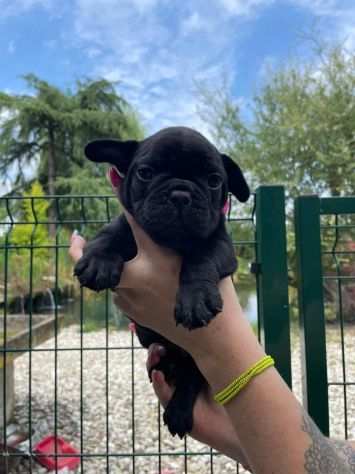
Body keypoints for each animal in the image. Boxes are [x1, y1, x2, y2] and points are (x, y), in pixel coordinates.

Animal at [74, 126, 250, 436]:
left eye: (214, 180)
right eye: (145, 172)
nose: (180, 194)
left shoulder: (221, 245)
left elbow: (202, 256)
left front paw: (196, 300)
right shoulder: (126, 223)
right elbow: (110, 233)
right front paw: (98, 262)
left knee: (193, 376)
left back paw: (178, 409)